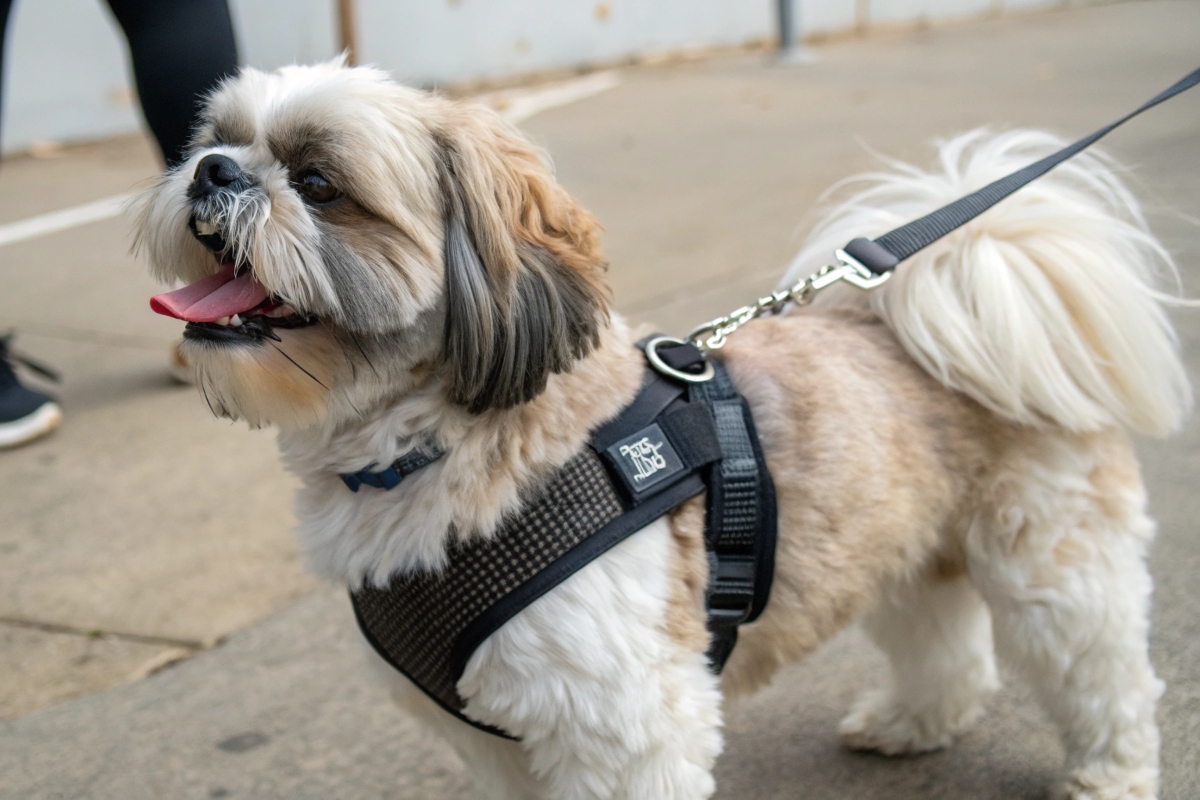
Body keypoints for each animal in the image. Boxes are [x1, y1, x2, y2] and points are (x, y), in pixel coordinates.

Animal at [133, 57, 1190, 800]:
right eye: (214, 140)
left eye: (318, 182)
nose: (212, 171)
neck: (437, 447)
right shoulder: (499, 740)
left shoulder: (619, 722)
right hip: (904, 547)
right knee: (944, 642)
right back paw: (915, 721)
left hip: (1055, 569)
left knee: (1103, 676)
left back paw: (1109, 773)